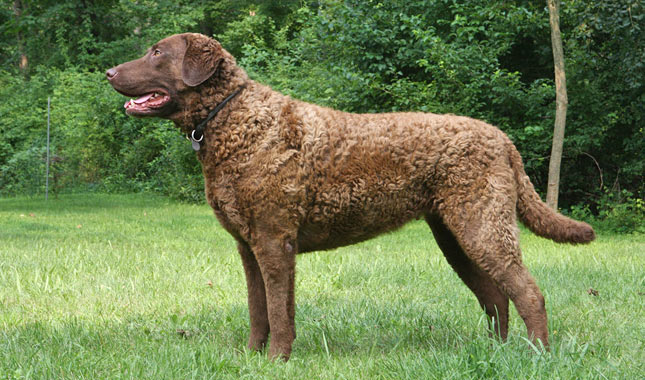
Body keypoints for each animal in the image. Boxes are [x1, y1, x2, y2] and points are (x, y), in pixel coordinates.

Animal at [105, 32, 592, 360]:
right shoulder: (249, 245)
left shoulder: (274, 241)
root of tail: (502, 138)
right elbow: (259, 310)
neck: (238, 121)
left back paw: (537, 354)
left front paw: (277, 360)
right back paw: (494, 352)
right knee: (495, 297)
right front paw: (252, 358)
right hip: (456, 235)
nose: (108, 72)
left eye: (157, 53)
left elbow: (278, 311)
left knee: (528, 293)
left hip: (483, 227)